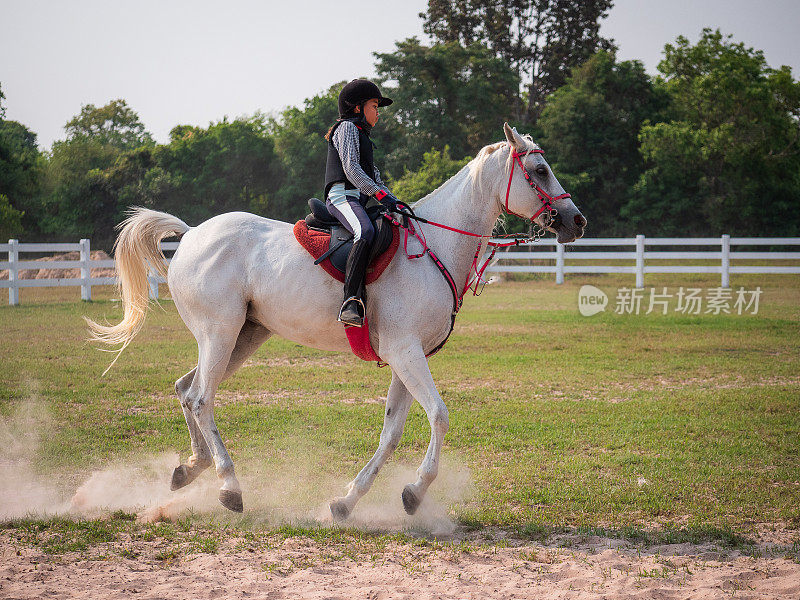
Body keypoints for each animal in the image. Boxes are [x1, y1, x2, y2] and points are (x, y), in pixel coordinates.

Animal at [89, 125, 588, 520]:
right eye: (540, 170)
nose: (577, 220)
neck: (435, 245)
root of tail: (192, 234)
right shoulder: (405, 351)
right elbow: (439, 416)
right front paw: (414, 492)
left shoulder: (407, 356)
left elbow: (392, 432)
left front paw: (348, 501)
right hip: (219, 333)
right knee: (200, 399)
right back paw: (229, 487)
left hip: (244, 336)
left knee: (185, 389)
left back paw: (188, 469)